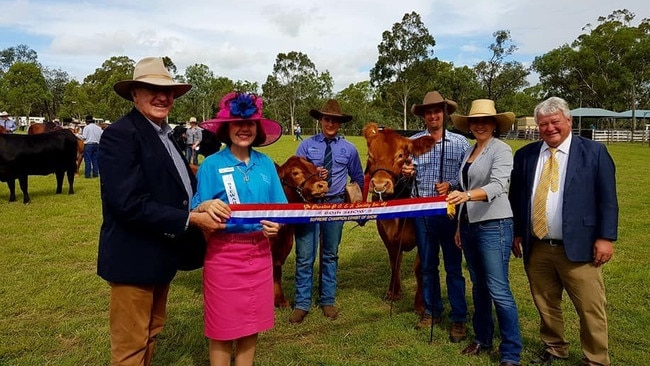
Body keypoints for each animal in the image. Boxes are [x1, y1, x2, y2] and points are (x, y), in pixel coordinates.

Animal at [362, 123, 432, 314]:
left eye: (400, 155)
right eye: (370, 155)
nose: (380, 185)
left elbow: (419, 267)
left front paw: (420, 304)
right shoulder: (386, 234)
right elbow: (395, 262)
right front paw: (393, 292)